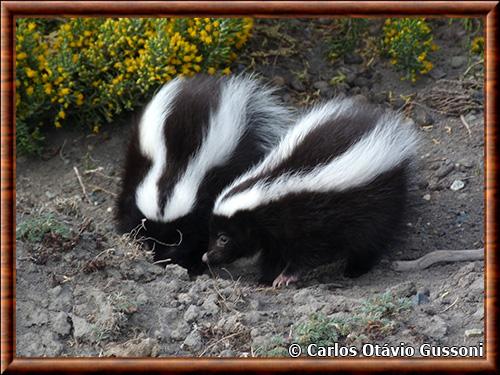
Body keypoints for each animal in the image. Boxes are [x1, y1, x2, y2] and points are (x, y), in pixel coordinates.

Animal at [115, 74, 292, 274]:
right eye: (148, 235)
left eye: (177, 239)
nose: (159, 259)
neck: (174, 171)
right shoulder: (140, 163)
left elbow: (203, 229)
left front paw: (194, 262)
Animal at [202, 97, 418, 288]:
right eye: (212, 234)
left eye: (223, 238)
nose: (207, 256)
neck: (268, 191)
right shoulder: (273, 234)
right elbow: (273, 254)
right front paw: (265, 278)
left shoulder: (308, 221)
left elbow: (307, 253)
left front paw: (286, 276)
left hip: (378, 201)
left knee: (371, 239)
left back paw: (355, 270)